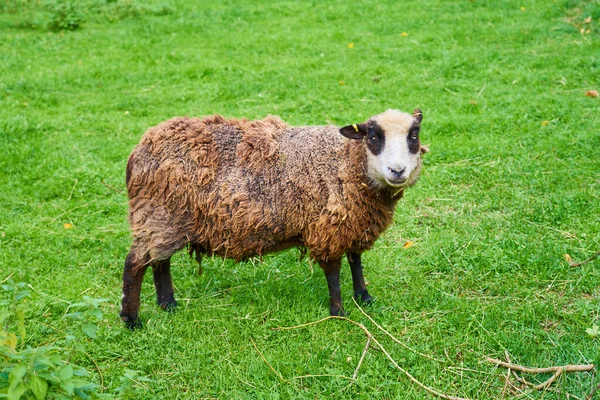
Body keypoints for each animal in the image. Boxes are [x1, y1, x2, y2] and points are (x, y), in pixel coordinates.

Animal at [119, 108, 426, 328]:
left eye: (414, 136)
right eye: (373, 136)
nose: (397, 170)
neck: (344, 163)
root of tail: (138, 150)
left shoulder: (353, 224)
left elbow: (356, 261)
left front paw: (364, 297)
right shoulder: (327, 228)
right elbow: (333, 271)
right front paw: (338, 311)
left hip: (165, 221)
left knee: (159, 262)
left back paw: (168, 304)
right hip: (157, 215)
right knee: (135, 264)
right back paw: (133, 320)